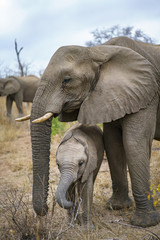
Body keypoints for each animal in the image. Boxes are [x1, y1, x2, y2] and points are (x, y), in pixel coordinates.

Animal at [17, 37, 160, 227]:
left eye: (67, 80)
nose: (46, 210)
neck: (97, 51)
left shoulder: (148, 93)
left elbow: (134, 143)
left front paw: (144, 223)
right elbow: (112, 143)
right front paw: (117, 207)